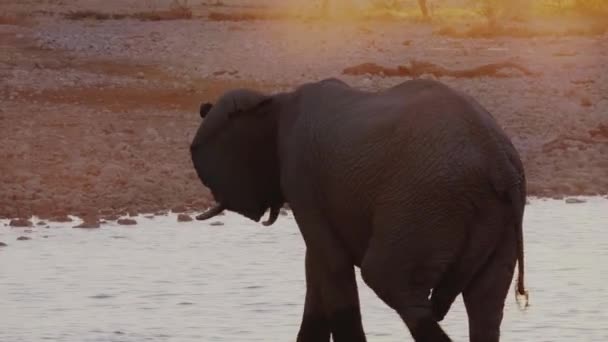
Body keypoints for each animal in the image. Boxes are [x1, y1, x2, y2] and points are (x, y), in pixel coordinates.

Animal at [190, 78, 528, 342]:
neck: (273, 100)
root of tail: (498, 158)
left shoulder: (299, 172)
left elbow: (331, 262)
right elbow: (316, 265)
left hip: (425, 204)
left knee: (388, 279)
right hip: (492, 217)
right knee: (485, 303)